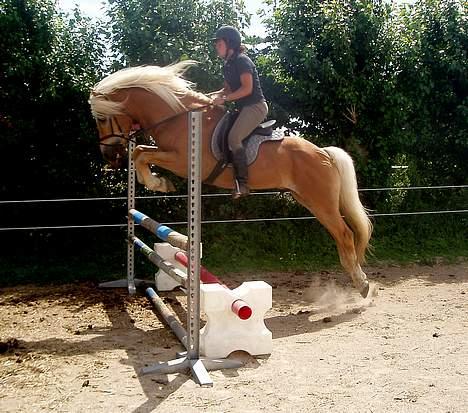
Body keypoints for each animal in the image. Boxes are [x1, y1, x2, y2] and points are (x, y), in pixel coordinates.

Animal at [88, 59, 372, 296]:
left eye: (101, 119)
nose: (109, 157)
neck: (177, 117)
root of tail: (323, 153)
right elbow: (139, 151)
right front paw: (158, 182)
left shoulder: (181, 161)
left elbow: (140, 154)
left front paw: (159, 183)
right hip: (307, 200)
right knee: (341, 236)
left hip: (321, 202)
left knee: (345, 235)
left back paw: (362, 285)